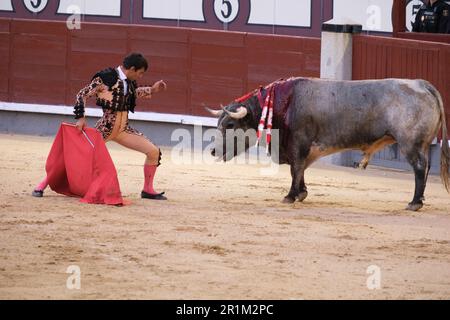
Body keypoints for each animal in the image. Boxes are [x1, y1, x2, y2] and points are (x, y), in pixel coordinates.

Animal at [208, 77, 450, 211]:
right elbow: (300, 170)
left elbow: (296, 169)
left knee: (419, 168)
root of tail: (422, 84)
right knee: (425, 168)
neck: (283, 104)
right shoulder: (304, 149)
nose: (212, 151)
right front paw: (301, 193)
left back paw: (414, 203)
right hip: (421, 144)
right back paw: (419, 200)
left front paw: (290, 196)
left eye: (230, 124)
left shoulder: (298, 143)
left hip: (410, 143)